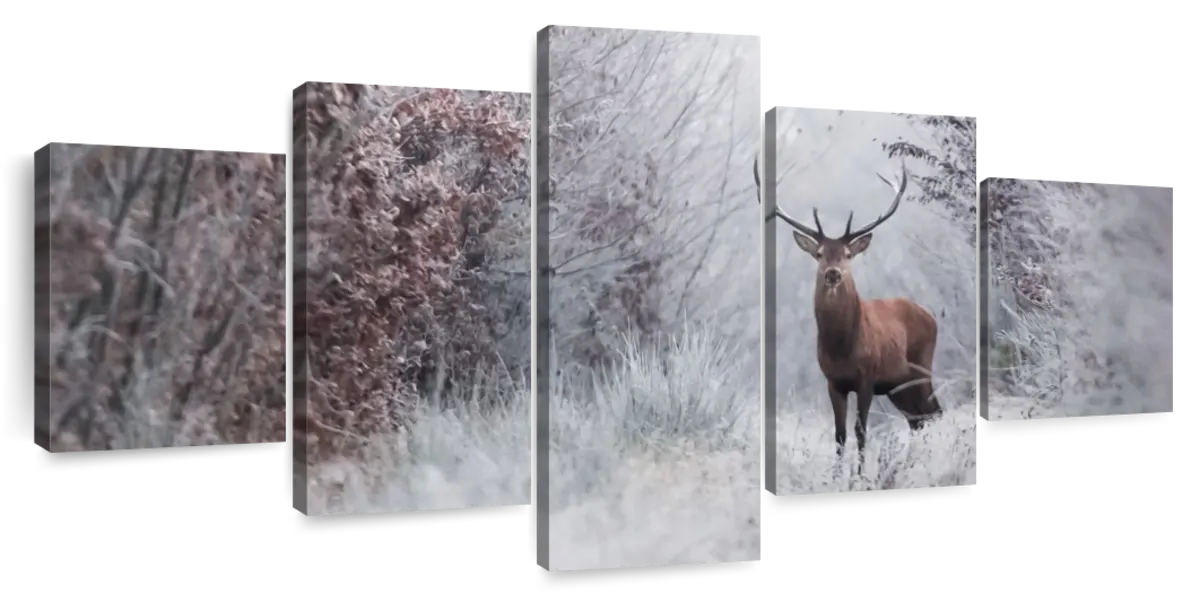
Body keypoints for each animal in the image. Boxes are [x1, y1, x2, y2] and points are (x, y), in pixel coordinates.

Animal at [755, 156, 942, 476]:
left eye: (847, 254)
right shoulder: (833, 381)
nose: (833, 273)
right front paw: (835, 476)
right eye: (819, 253)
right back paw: (907, 465)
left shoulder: (867, 376)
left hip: (921, 367)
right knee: (917, 418)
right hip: (897, 386)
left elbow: (860, 430)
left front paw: (859, 476)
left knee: (932, 412)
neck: (843, 348)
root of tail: (930, 316)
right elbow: (840, 433)